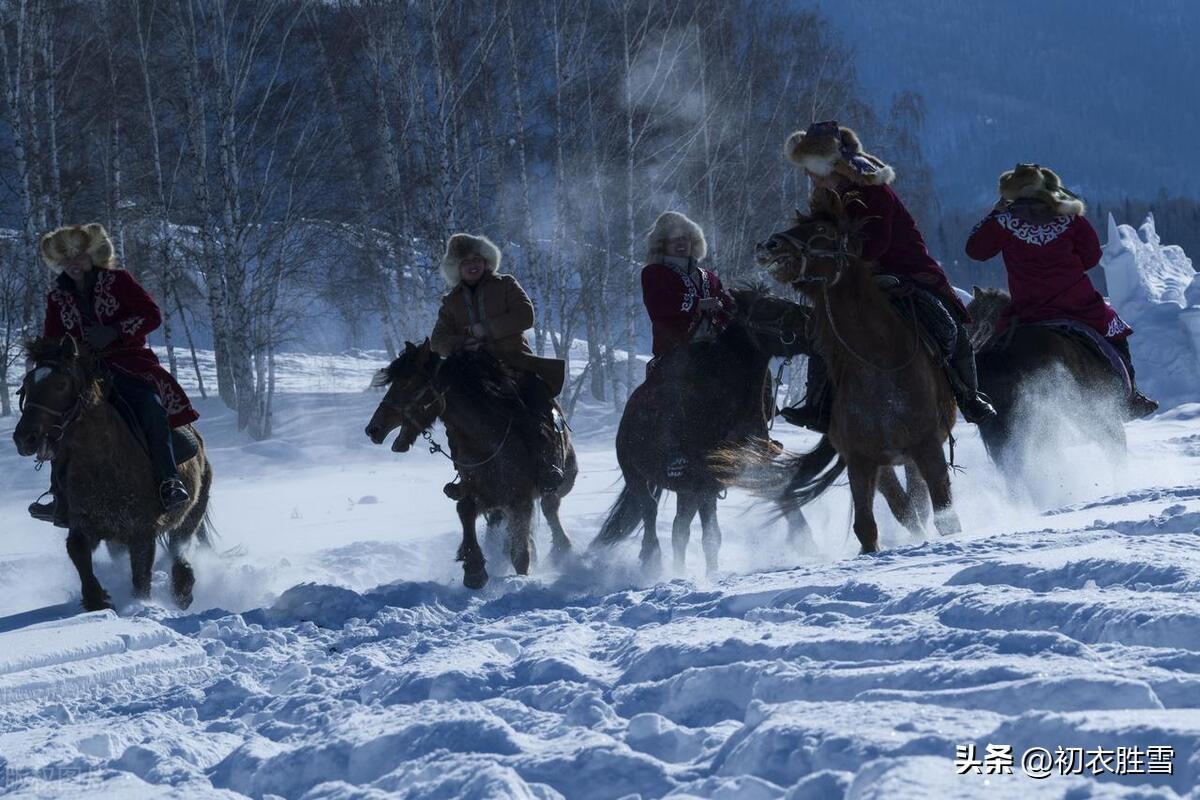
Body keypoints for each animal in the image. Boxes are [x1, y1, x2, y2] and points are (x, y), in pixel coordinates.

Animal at [12, 335, 213, 609]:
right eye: (27, 385)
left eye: (61, 384)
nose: (25, 438)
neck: (102, 463)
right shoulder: (87, 524)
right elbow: (77, 551)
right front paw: (98, 599)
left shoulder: (142, 531)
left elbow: (141, 578)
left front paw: (139, 606)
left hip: (192, 512)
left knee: (179, 548)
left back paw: (182, 589)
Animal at [362, 340, 578, 592]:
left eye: (406, 383)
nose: (373, 429)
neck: (487, 441)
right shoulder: (480, 492)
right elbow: (464, 510)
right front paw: (474, 570)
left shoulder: (519, 500)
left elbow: (520, 555)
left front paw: (518, 579)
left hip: (559, 482)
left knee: (550, 508)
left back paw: (562, 550)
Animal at [590, 287, 816, 575]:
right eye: (769, 306)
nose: (812, 319)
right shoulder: (704, 485)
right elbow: (706, 535)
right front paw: (707, 576)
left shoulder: (750, 469)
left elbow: (783, 497)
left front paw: (807, 543)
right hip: (638, 477)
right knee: (650, 514)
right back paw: (653, 561)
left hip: (685, 491)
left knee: (678, 528)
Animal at [753, 194, 960, 556]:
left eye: (822, 230)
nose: (770, 246)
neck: (876, 363)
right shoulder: (860, 460)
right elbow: (867, 527)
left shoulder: (927, 446)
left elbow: (946, 516)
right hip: (886, 463)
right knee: (906, 507)